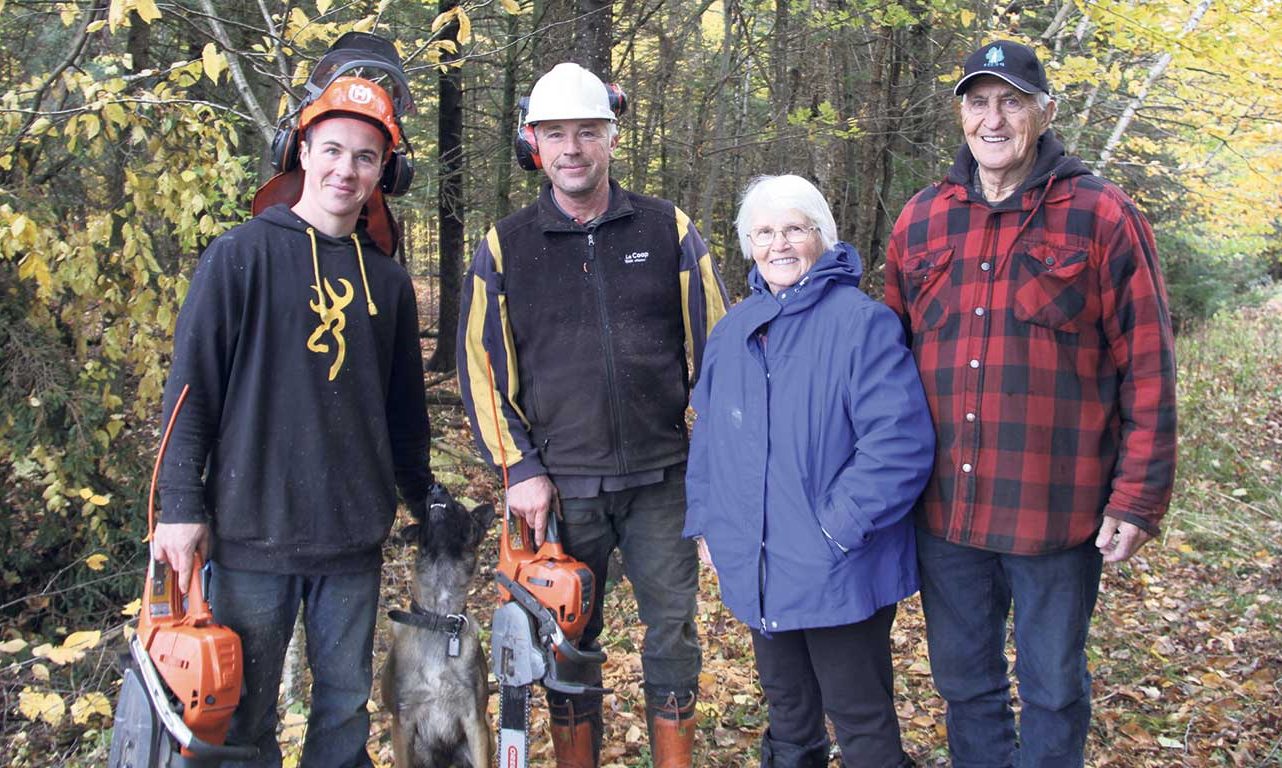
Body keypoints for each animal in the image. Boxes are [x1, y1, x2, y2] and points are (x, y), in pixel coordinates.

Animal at [379, 487, 494, 768]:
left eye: (461, 508)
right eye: (423, 511)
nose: (436, 487)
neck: (439, 618)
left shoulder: (475, 722)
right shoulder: (403, 723)